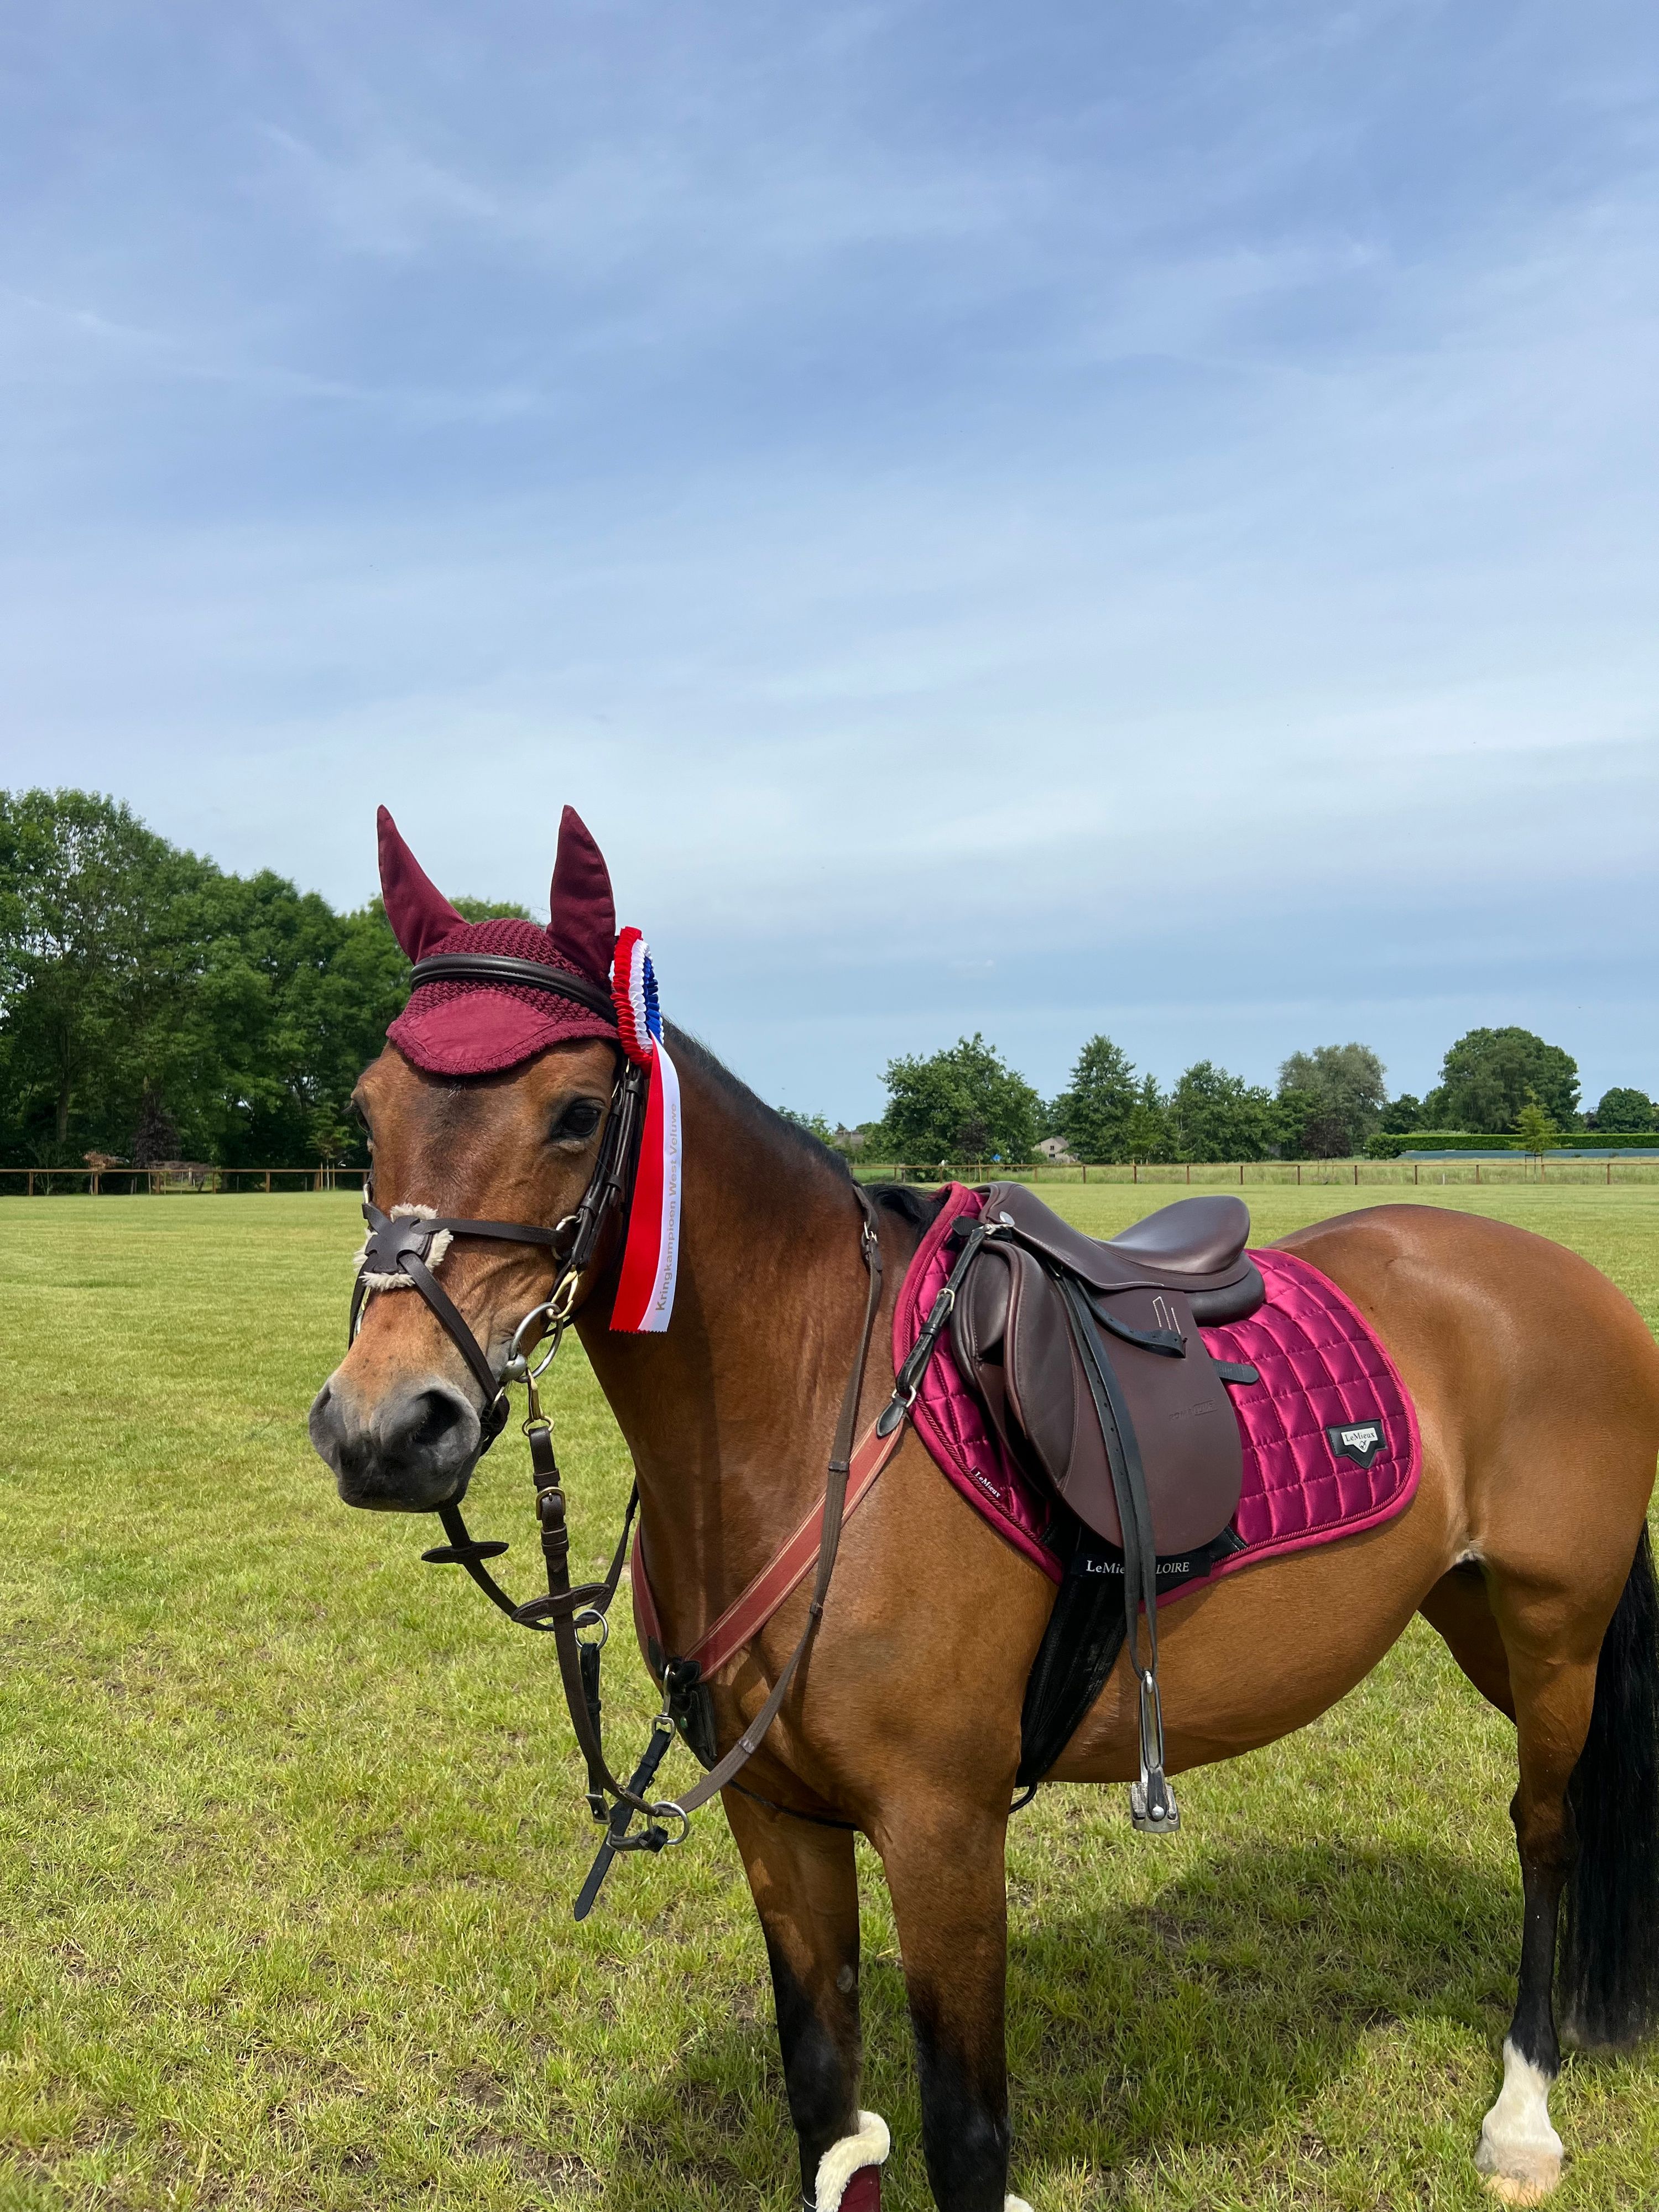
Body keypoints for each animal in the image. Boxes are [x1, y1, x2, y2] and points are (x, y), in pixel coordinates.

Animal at [309, 818, 1659, 2212]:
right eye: (366, 1108)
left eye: (577, 1113)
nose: (385, 1426)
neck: (817, 1414)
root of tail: (1559, 1275)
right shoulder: (778, 1819)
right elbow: (826, 2102)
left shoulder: (941, 1828)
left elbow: (964, 2130)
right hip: (1472, 1613)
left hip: (1554, 1629)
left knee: (1547, 1833)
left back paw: (1522, 2112)